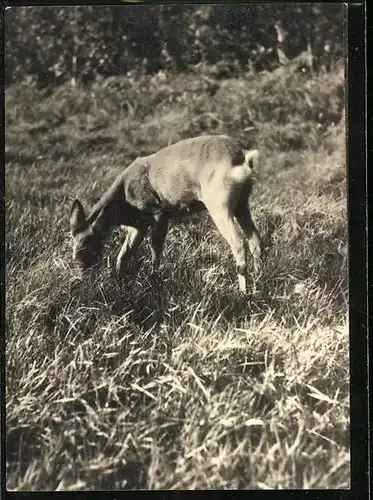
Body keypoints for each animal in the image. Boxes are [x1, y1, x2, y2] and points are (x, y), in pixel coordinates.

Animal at [70, 135, 262, 294]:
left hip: (218, 202)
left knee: (238, 242)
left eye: (88, 244)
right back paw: (259, 282)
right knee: (255, 238)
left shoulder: (158, 213)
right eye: (73, 245)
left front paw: (153, 282)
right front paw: (119, 281)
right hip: (242, 203)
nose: (81, 276)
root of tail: (243, 157)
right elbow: (123, 255)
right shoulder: (139, 225)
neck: (124, 201)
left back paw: (243, 293)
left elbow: (155, 251)